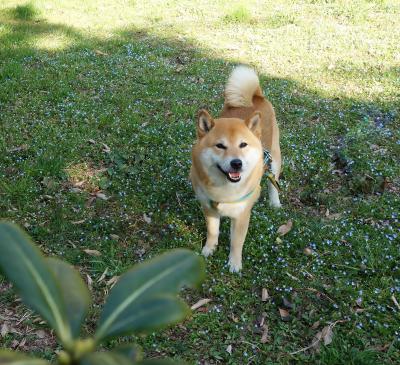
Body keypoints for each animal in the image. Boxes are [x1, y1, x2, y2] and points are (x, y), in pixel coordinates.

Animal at [191, 65, 282, 272]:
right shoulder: (209, 208)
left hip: (275, 157)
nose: (236, 163)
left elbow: (236, 242)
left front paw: (234, 263)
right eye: (220, 146)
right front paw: (209, 249)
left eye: (243, 145)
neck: (224, 190)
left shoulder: (241, 215)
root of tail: (256, 96)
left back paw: (275, 202)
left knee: (273, 181)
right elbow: (212, 232)